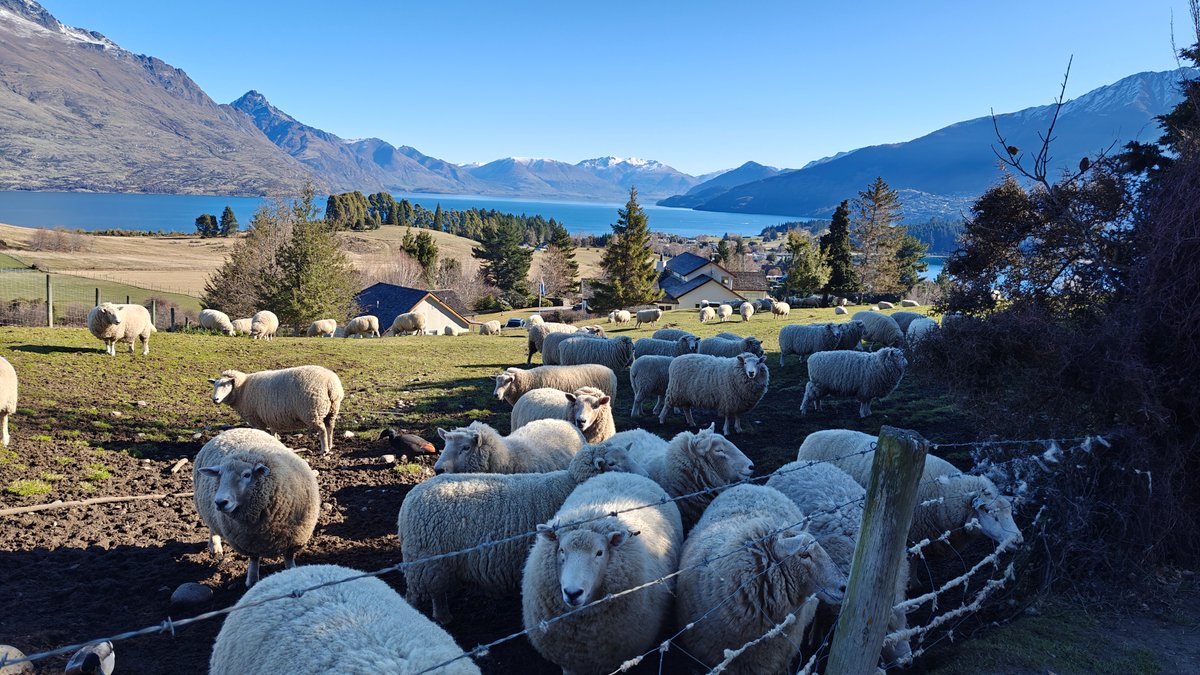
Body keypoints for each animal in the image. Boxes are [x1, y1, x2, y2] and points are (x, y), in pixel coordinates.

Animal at [192, 428, 320, 587]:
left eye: (247, 475)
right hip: (207, 510)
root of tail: (236, 429)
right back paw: (215, 546)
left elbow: (289, 558)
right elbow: (254, 560)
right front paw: (252, 581)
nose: (220, 502)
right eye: (219, 475)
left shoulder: (293, 539)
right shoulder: (249, 543)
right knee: (212, 528)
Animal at [208, 365, 344, 455]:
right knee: (330, 427)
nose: (215, 399)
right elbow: (273, 432)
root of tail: (330, 384)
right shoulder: (270, 416)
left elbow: (263, 432)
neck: (242, 389)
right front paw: (276, 441)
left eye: (226, 385)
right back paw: (330, 445)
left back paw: (324, 450)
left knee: (322, 430)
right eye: (214, 385)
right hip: (332, 410)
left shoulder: (257, 419)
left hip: (312, 412)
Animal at [398, 442, 646, 624]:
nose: (645, 475)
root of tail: (410, 498)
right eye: (612, 463)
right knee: (424, 595)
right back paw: (435, 617)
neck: (568, 482)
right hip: (426, 562)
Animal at [766, 462, 912, 664]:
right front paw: (815, 638)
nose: (908, 661)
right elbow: (821, 614)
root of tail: (793, 464)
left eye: (906, 621)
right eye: (887, 630)